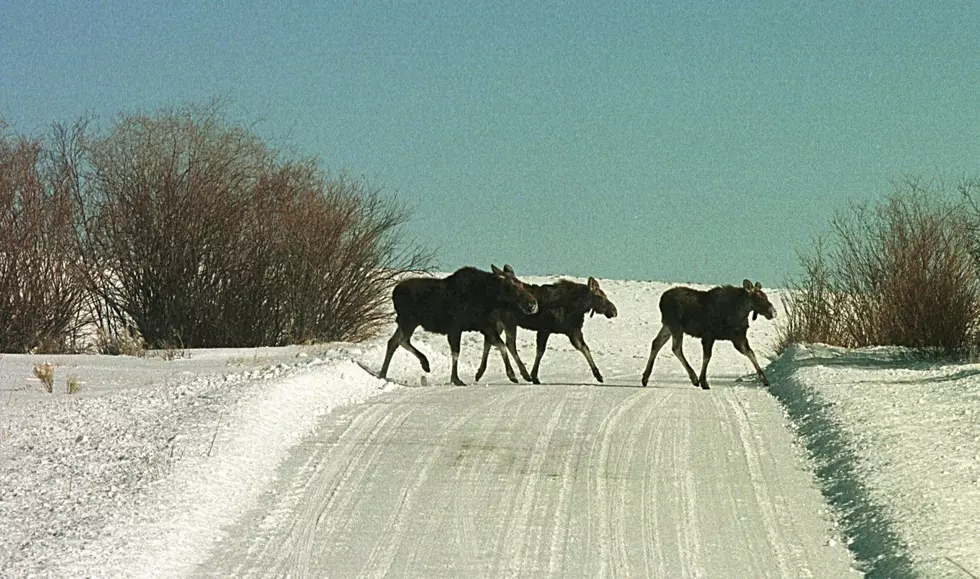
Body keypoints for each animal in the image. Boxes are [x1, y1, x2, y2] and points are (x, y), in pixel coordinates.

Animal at [378, 266, 540, 386]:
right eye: (510, 287)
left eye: (521, 284)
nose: (532, 304)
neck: (488, 299)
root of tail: (394, 293)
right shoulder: (455, 328)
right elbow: (456, 352)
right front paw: (456, 379)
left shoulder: (486, 326)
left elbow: (501, 345)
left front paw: (513, 375)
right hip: (409, 321)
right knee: (401, 341)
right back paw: (425, 363)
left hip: (405, 323)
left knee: (393, 342)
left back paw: (383, 374)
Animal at [476, 276, 620, 386]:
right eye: (599, 296)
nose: (614, 311)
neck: (577, 307)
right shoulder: (545, 329)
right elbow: (540, 351)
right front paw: (534, 376)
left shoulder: (572, 331)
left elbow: (585, 348)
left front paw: (599, 375)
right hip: (508, 321)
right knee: (508, 343)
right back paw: (522, 374)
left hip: (497, 322)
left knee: (489, 341)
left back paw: (480, 372)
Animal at [644, 280, 772, 390]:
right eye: (758, 297)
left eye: (765, 296)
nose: (772, 311)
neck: (740, 313)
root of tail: (661, 300)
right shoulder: (709, 335)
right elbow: (707, 357)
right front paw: (703, 382)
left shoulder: (738, 338)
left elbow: (751, 353)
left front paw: (765, 380)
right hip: (675, 326)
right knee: (676, 348)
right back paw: (694, 379)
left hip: (667, 326)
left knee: (656, 343)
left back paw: (645, 377)